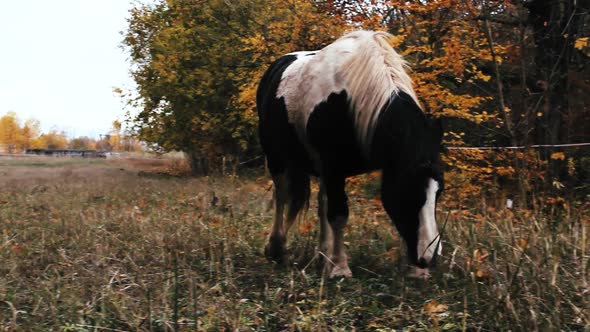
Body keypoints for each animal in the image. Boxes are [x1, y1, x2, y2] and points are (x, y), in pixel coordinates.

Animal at [256, 30, 446, 278]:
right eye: (407, 190)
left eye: (439, 192)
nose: (427, 258)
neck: (350, 99)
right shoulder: (333, 167)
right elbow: (338, 214)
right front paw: (340, 268)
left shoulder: (338, 169)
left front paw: (416, 272)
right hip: (276, 157)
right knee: (282, 196)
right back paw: (276, 248)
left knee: (321, 203)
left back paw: (322, 255)